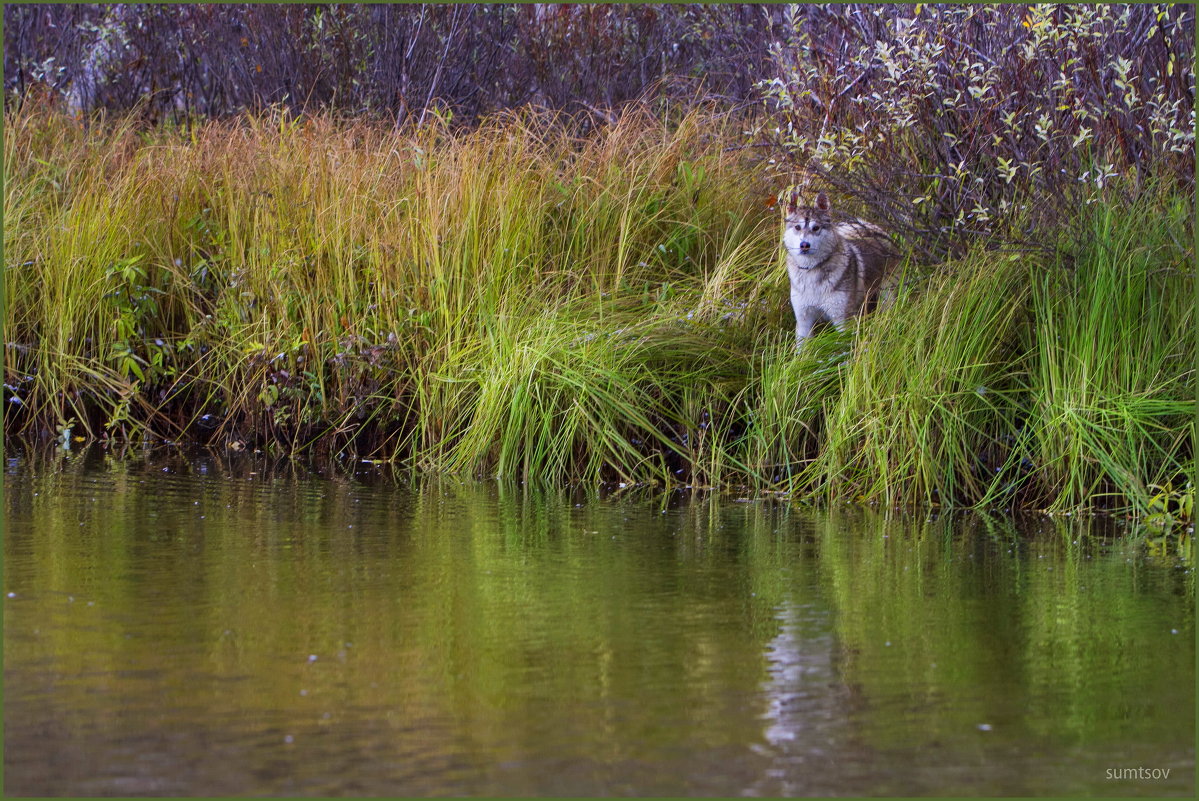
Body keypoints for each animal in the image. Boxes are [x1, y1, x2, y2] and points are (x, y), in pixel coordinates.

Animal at [776, 194, 901, 347]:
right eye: (797, 227)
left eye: (816, 228)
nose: (804, 245)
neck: (812, 271)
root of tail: (877, 230)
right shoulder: (803, 320)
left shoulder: (842, 320)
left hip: (887, 296)